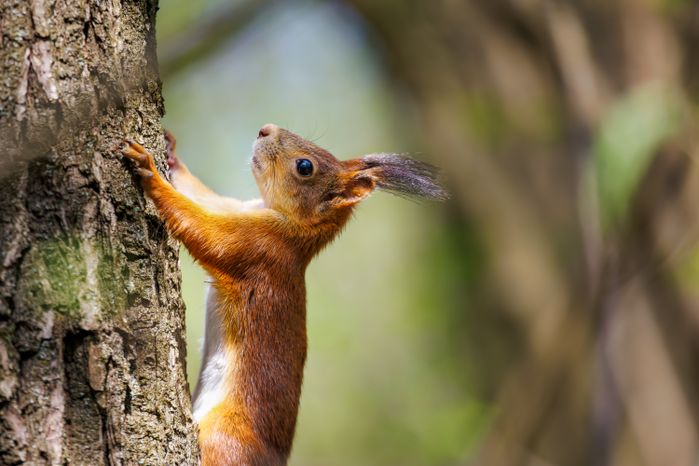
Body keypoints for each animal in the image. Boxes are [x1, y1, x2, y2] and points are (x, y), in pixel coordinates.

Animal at [122, 124, 447, 466]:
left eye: (305, 167)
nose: (266, 129)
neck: (293, 228)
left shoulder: (259, 248)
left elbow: (202, 229)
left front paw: (150, 173)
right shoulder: (241, 209)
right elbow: (205, 198)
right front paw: (170, 153)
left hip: (224, 441)